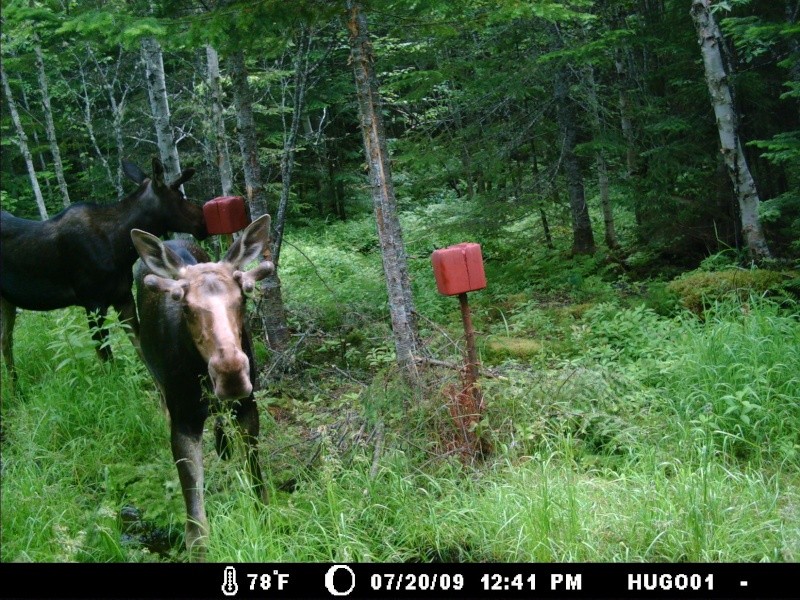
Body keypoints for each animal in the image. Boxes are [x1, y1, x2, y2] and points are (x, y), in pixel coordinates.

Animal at [0, 157, 206, 378]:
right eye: (180, 196)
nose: (202, 222)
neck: (120, 247)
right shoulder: (92, 302)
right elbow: (106, 359)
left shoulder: (123, 297)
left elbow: (141, 350)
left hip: (7, 301)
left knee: (5, 342)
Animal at [131, 213, 276, 560]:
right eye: (185, 306)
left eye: (242, 297)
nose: (231, 374)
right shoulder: (184, 422)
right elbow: (195, 525)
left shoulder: (248, 406)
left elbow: (258, 485)